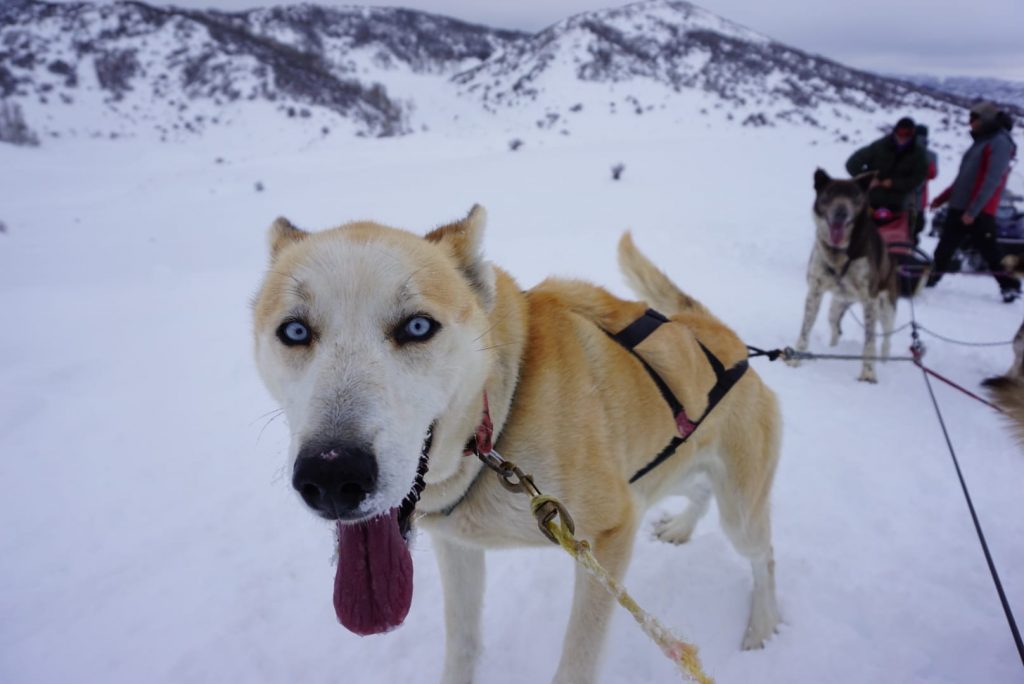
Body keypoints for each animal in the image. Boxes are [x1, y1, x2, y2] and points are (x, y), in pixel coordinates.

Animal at [251, 206, 778, 684]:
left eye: (417, 327)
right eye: (295, 331)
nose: (333, 474)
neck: (495, 424)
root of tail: (722, 337)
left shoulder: (607, 537)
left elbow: (576, 663)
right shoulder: (458, 548)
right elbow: (463, 644)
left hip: (737, 514)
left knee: (763, 553)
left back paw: (763, 624)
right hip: (663, 475)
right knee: (698, 491)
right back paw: (682, 527)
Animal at [786, 167, 901, 382]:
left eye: (854, 196)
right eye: (830, 194)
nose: (841, 212)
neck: (839, 253)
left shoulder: (870, 301)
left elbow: (870, 342)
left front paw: (868, 373)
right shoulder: (815, 291)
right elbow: (805, 329)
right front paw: (795, 359)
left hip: (885, 309)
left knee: (886, 339)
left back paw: (884, 361)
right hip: (837, 306)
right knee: (835, 329)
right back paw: (832, 348)